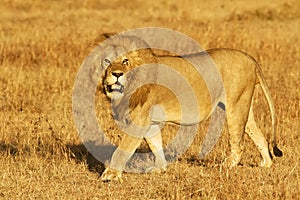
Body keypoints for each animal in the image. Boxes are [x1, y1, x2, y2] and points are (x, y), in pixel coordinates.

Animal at [90, 34, 282, 181]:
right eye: (106, 61)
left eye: (125, 61)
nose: (116, 74)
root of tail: (250, 58)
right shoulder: (151, 121)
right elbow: (155, 144)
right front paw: (160, 168)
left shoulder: (140, 120)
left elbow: (122, 149)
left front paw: (110, 175)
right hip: (243, 105)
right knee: (257, 134)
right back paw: (266, 164)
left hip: (235, 106)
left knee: (237, 143)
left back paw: (224, 166)